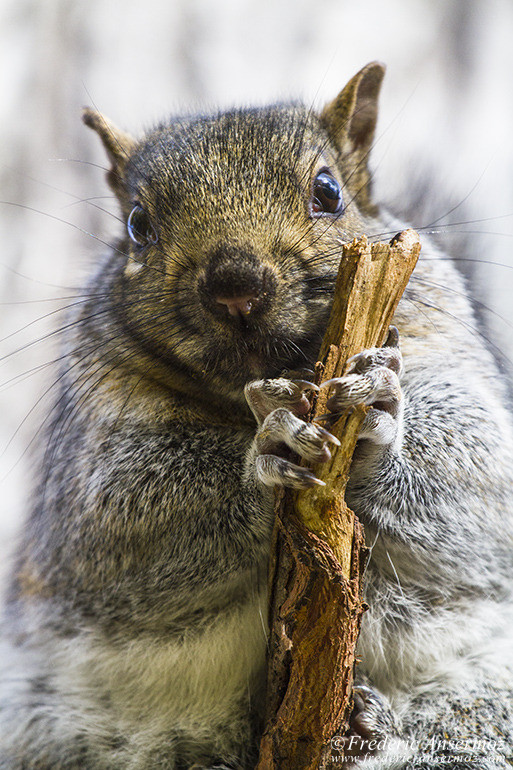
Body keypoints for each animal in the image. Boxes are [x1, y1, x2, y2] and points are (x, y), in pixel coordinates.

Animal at [1, 61, 512, 768]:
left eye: (328, 191)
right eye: (136, 224)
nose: (235, 286)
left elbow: (479, 476)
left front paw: (379, 416)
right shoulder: (83, 481)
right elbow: (115, 516)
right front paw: (266, 456)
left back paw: (372, 724)